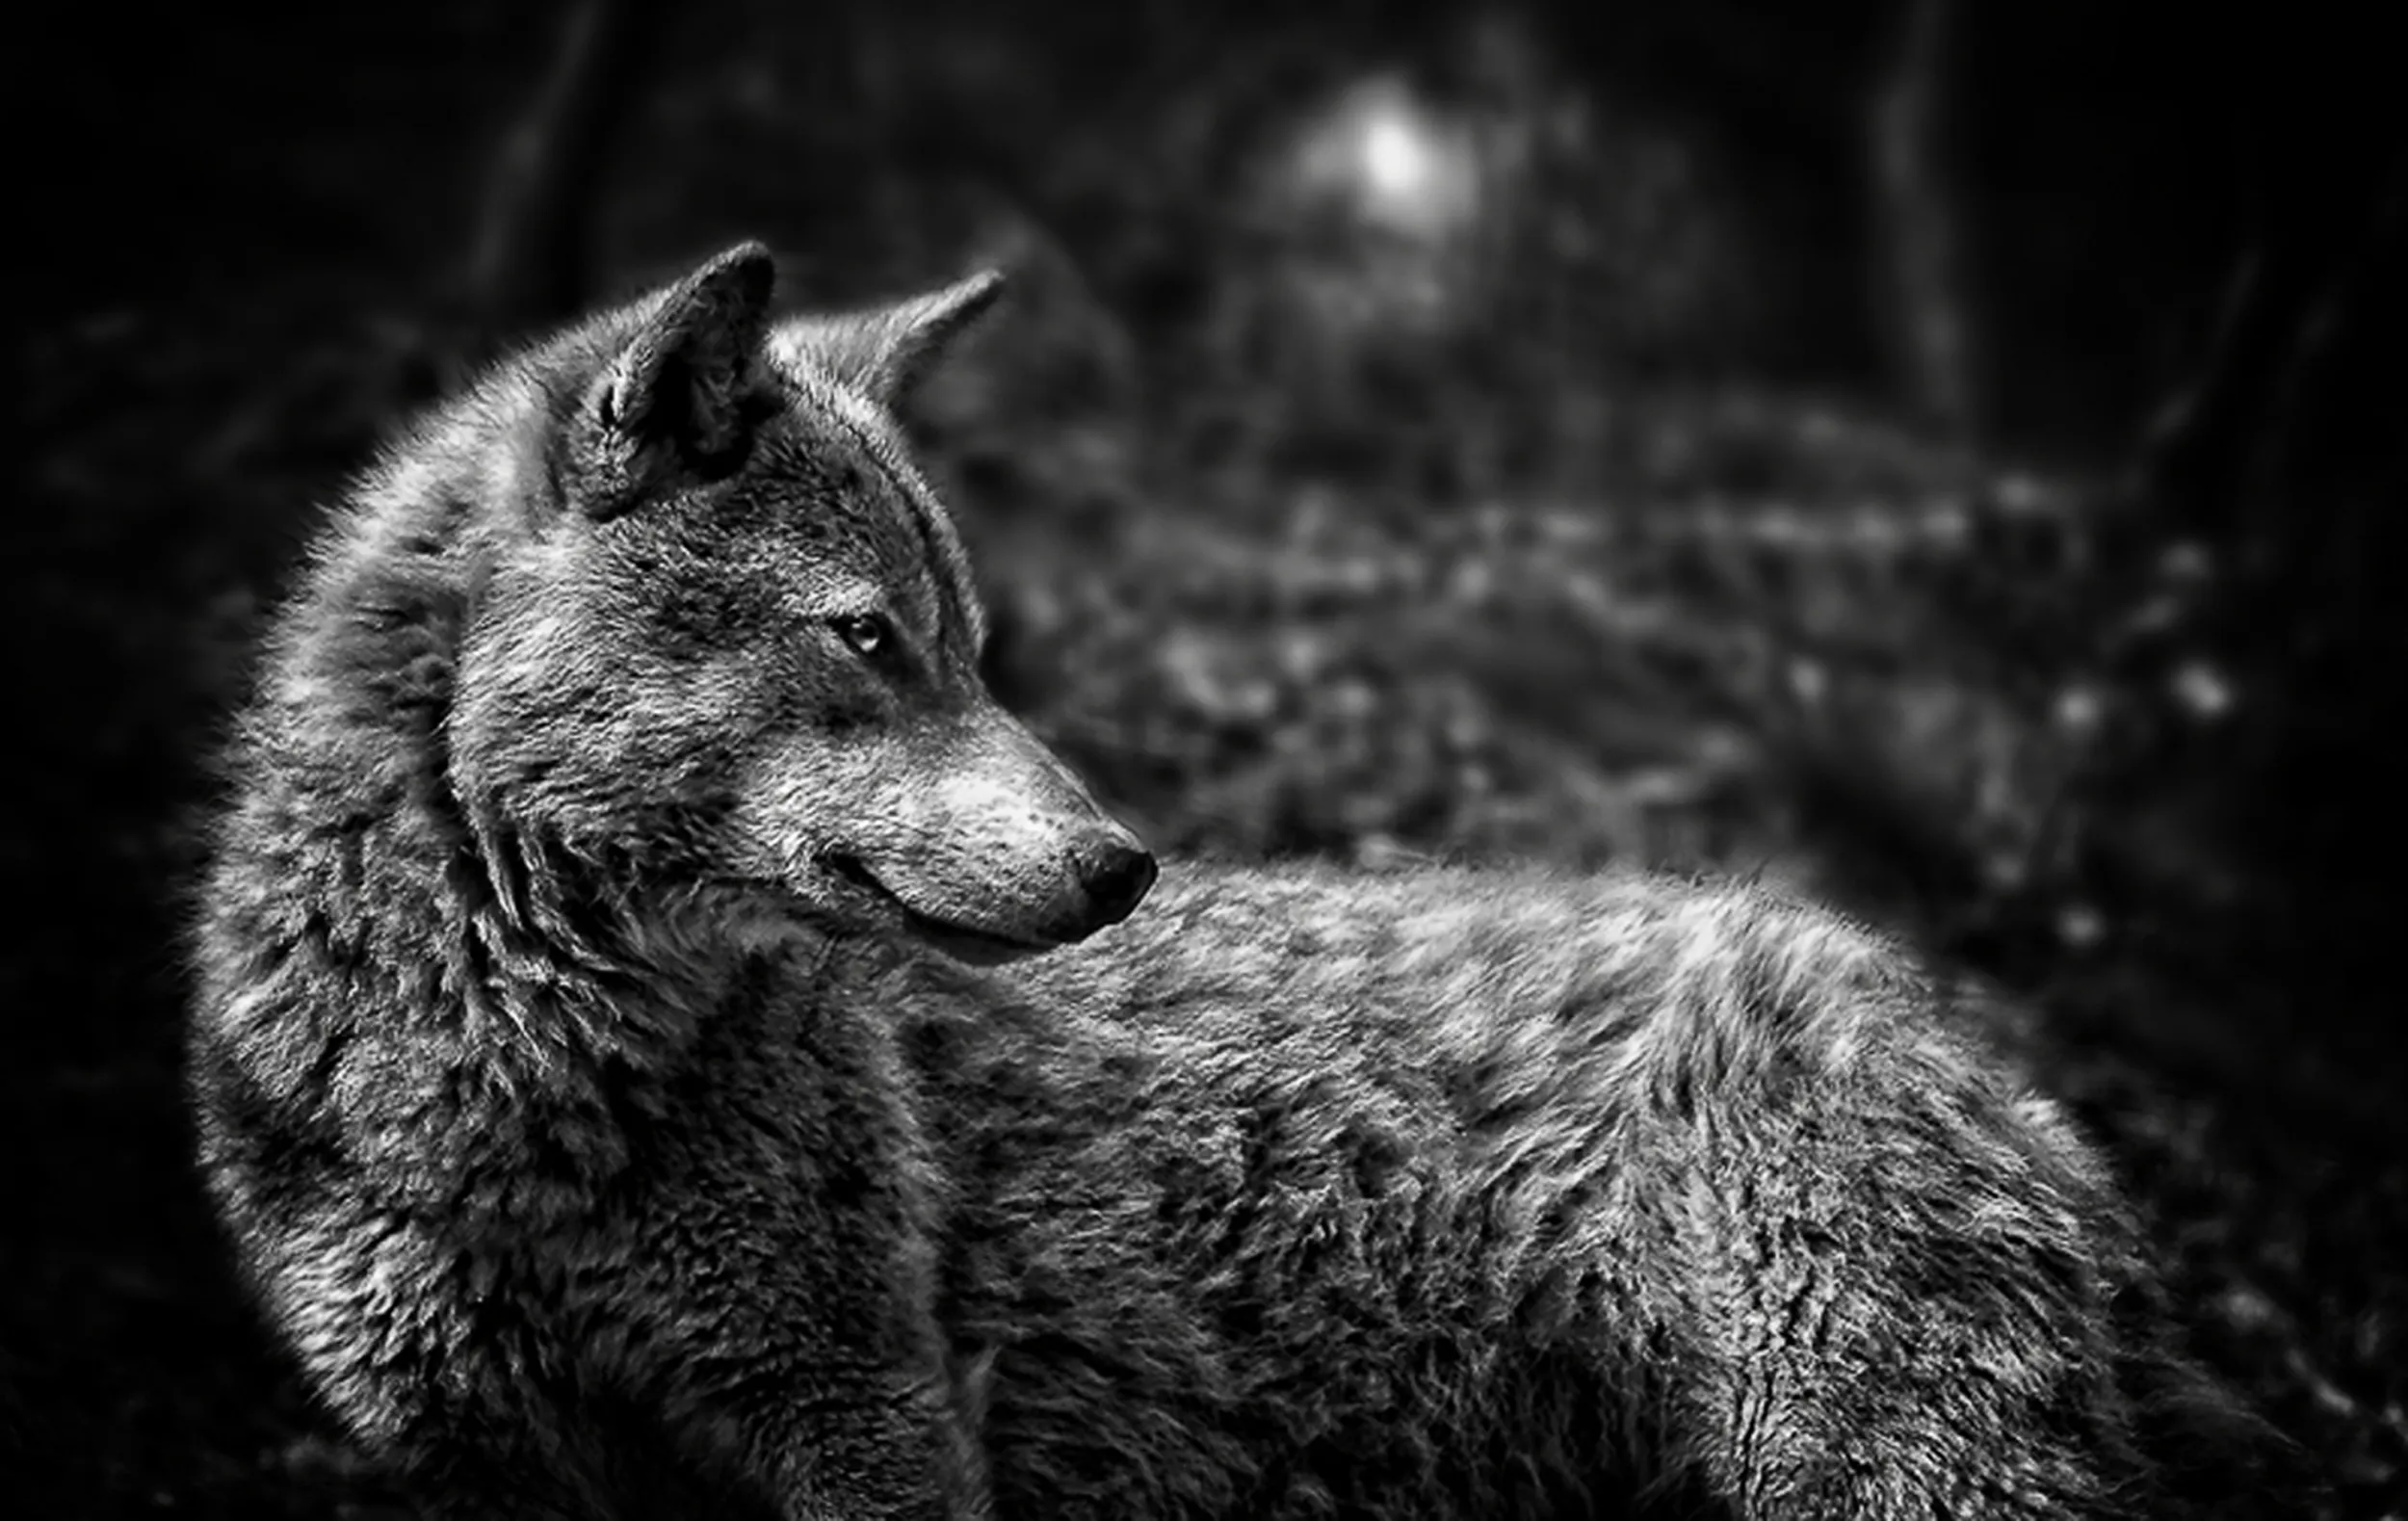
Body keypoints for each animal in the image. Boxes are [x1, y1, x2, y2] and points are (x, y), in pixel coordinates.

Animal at [188, 242, 2276, 1520]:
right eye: (870, 640)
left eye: (977, 648)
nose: (1125, 866)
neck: (507, 1092)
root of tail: (1996, 1067)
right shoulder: (475, 1451)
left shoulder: (863, 1423)